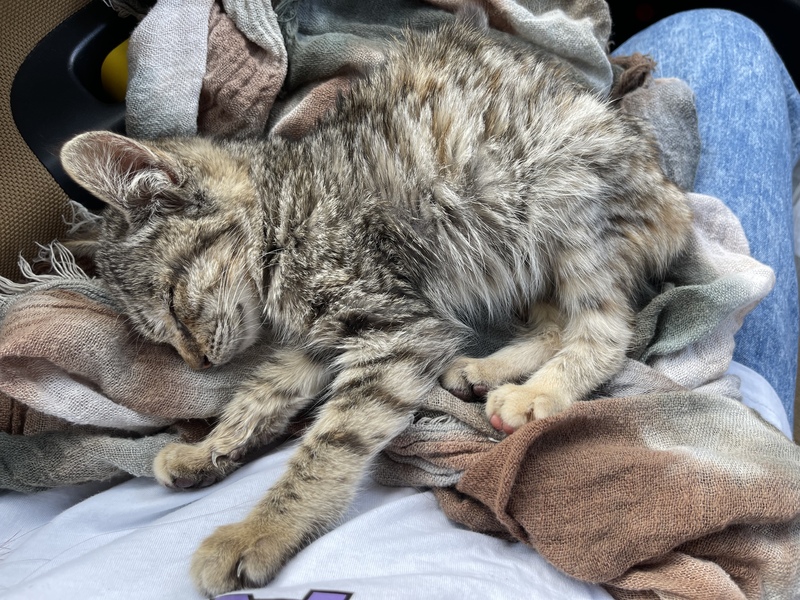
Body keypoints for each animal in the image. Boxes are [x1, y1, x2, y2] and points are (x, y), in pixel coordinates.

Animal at [60, 16, 692, 597]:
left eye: (172, 304)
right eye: (159, 335)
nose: (197, 363)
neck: (285, 213)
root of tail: (671, 195)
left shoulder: (394, 330)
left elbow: (330, 445)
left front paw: (260, 532)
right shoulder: (322, 342)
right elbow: (261, 394)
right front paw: (210, 448)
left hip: (564, 204)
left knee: (606, 331)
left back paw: (536, 394)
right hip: (522, 258)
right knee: (555, 324)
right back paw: (484, 369)